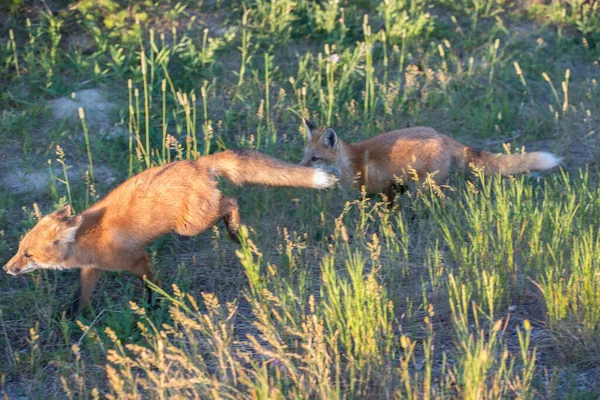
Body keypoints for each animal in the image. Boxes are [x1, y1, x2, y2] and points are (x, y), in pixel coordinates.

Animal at [2, 148, 336, 314]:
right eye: (19, 249)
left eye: (28, 255)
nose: (6, 269)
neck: (89, 239)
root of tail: (197, 163)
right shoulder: (92, 269)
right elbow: (80, 297)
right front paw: (70, 318)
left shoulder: (137, 259)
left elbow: (152, 286)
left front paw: (155, 307)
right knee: (229, 200)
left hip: (189, 226)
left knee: (231, 201)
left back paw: (234, 231)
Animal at [300, 119, 564, 202]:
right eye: (304, 156)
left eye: (315, 158)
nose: (299, 169)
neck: (352, 161)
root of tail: (441, 136)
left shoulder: (385, 187)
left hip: (423, 185)